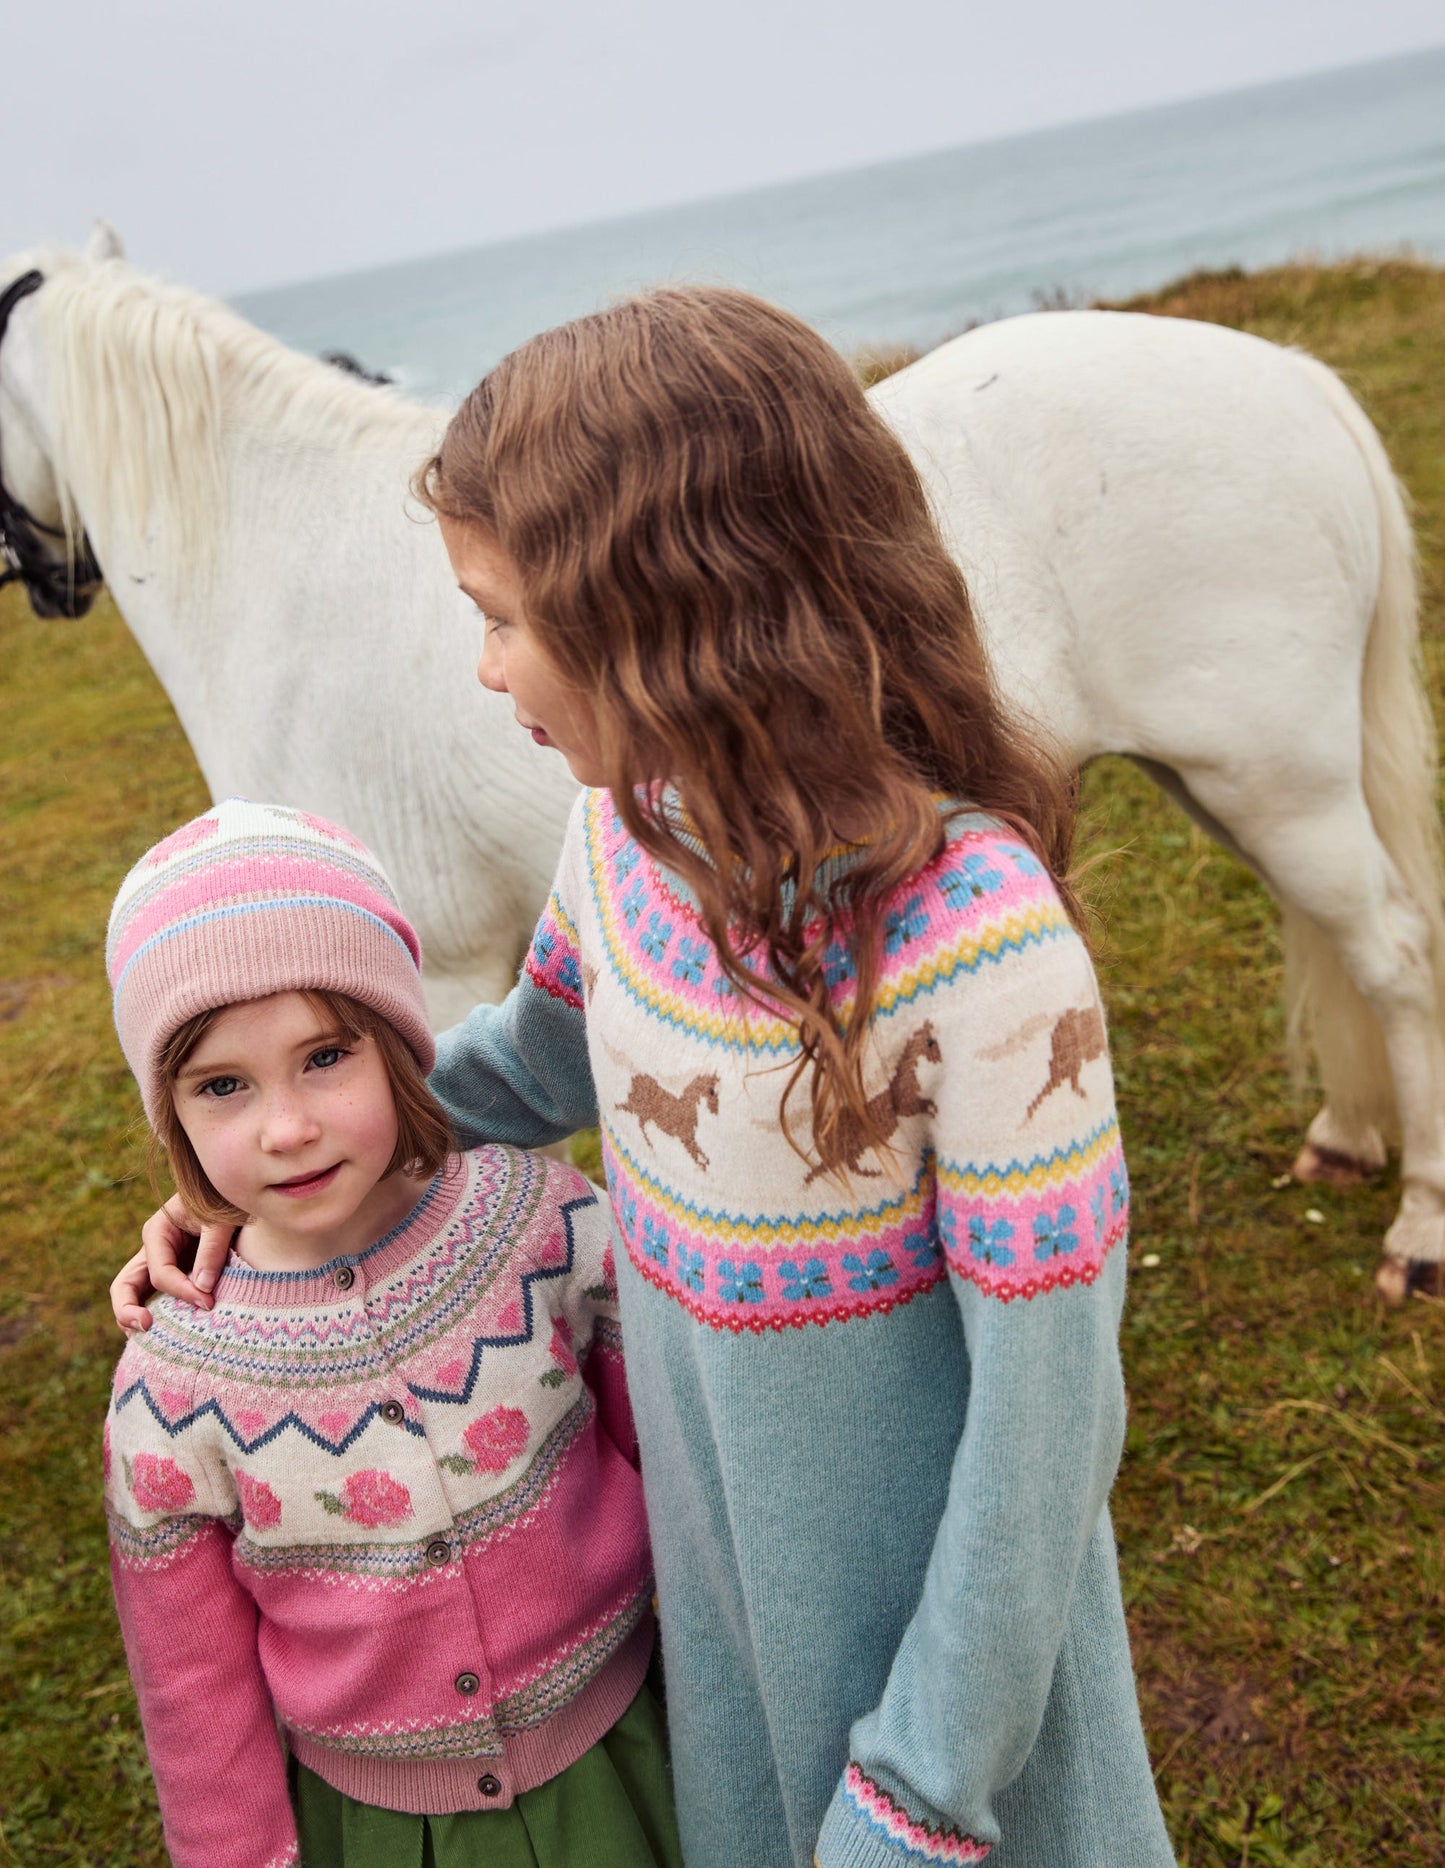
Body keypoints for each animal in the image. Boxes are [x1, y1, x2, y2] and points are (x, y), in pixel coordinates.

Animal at [0, 226, 1441, 1300]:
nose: (43, 584)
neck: (286, 574)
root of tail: (1288, 377)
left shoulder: (431, 969)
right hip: (1232, 786)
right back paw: (1346, 1137)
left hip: (1280, 782)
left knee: (1388, 955)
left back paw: (1416, 1231)